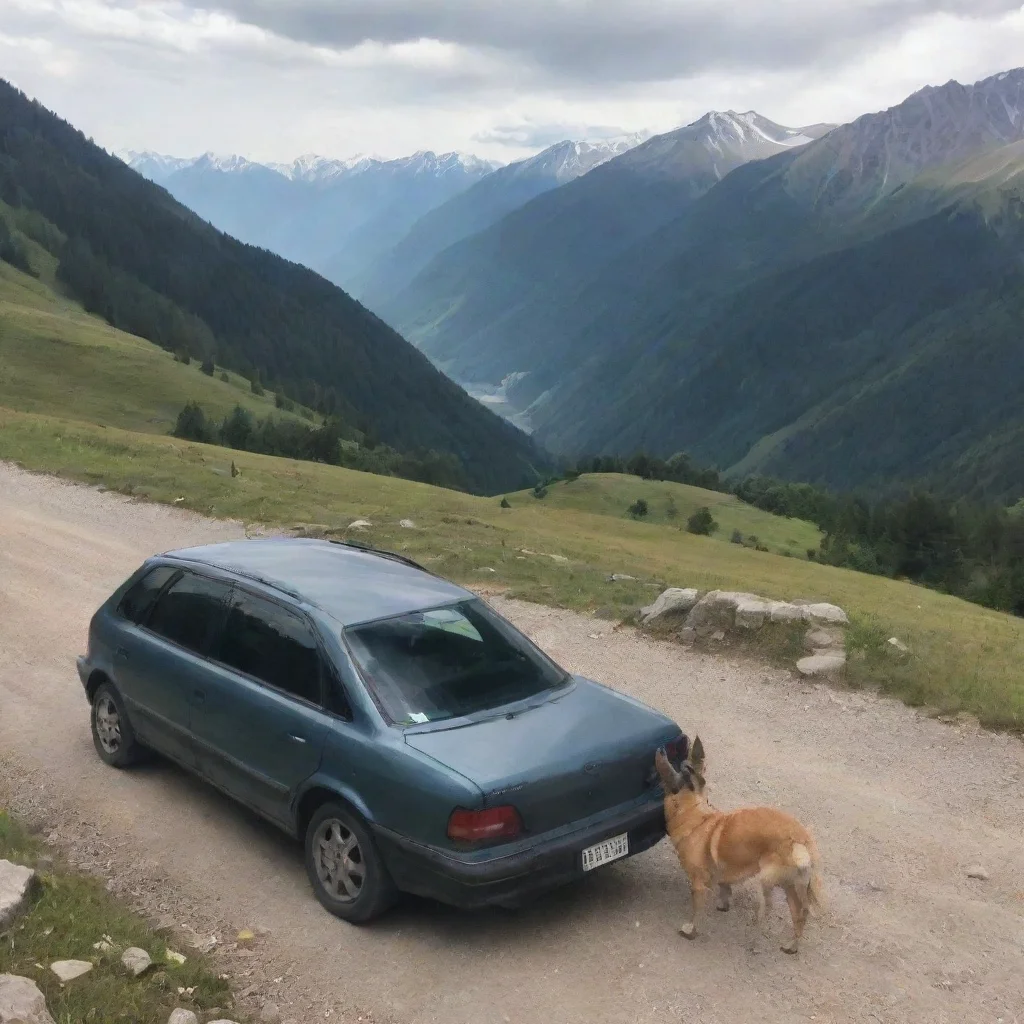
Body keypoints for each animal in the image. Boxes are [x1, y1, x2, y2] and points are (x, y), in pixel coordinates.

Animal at [655, 737, 823, 950]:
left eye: (671, 778)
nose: (661, 749)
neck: (696, 818)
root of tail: (801, 839)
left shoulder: (698, 885)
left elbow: (696, 912)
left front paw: (690, 930)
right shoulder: (722, 872)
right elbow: (725, 887)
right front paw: (723, 904)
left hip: (768, 880)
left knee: (772, 909)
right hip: (791, 886)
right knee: (801, 914)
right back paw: (791, 946)